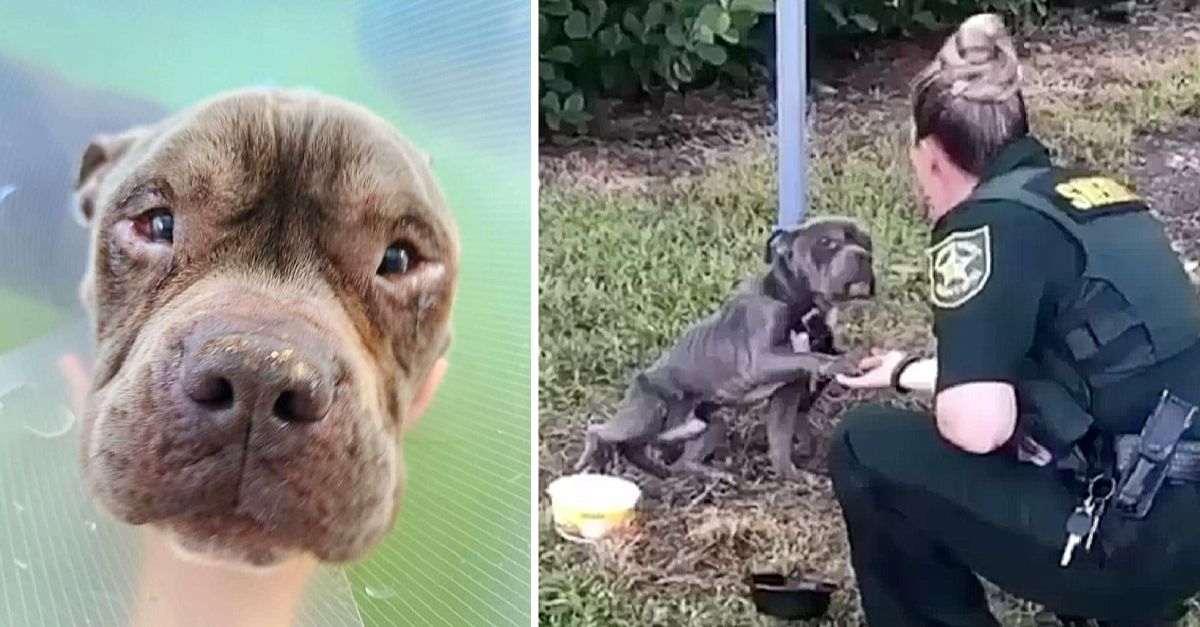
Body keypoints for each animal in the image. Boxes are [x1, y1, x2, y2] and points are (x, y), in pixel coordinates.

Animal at [571, 217, 873, 480]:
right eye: (826, 242)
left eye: (865, 241)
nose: (864, 256)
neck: (799, 304)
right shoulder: (760, 361)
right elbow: (811, 356)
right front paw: (839, 362)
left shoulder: (787, 392)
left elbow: (781, 442)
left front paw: (795, 474)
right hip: (649, 412)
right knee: (600, 430)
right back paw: (591, 457)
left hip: (708, 425)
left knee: (676, 461)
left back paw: (703, 474)